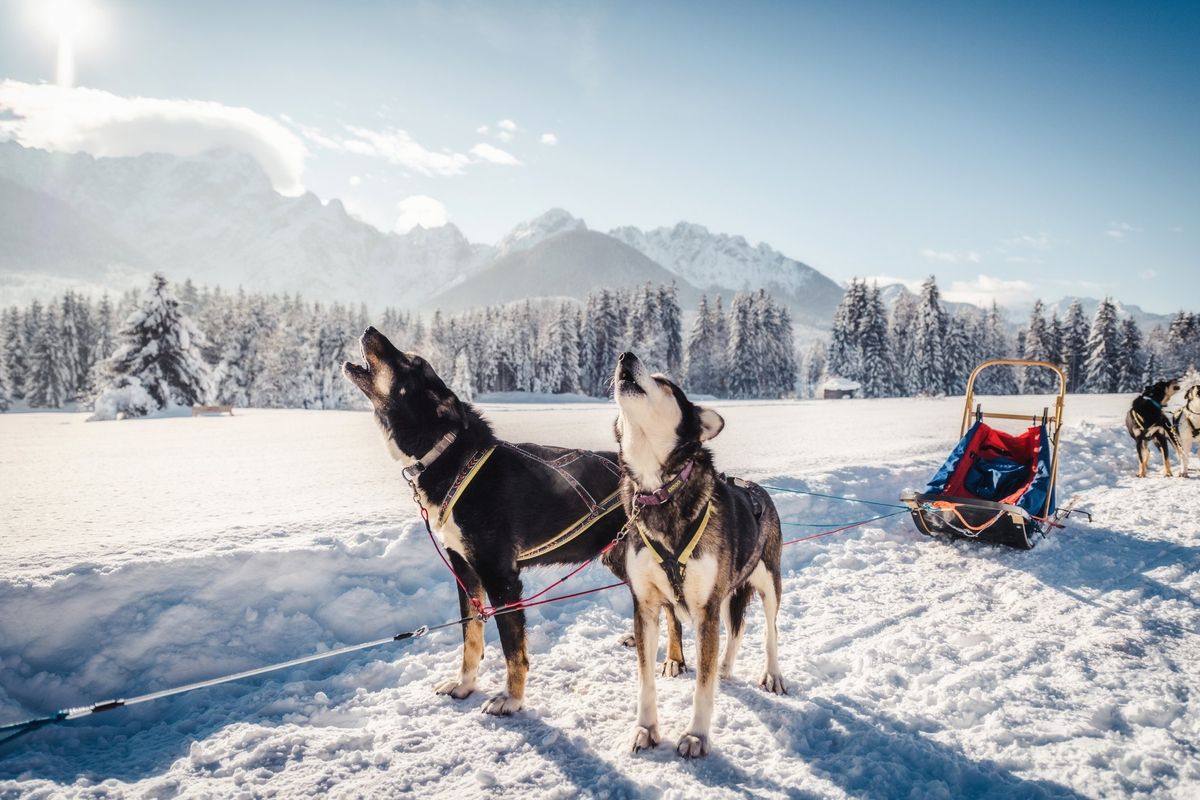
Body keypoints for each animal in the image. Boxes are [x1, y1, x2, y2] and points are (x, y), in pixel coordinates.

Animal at [345, 328, 686, 714]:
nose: (370, 330)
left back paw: (674, 659)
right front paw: (465, 685)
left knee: (673, 610)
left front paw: (512, 698)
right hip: (620, 558)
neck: (450, 456)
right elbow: (472, 638)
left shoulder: (500, 577)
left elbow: (512, 648)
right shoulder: (465, 571)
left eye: (410, 361)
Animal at [609, 352, 787, 762]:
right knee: (735, 631)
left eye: (664, 382)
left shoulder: (705, 608)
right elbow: (645, 680)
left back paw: (772, 674)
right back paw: (726, 667)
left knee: (769, 631)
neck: (660, 492)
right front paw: (646, 729)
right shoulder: (646, 607)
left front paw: (696, 736)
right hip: (727, 594)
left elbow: (702, 686)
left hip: (768, 583)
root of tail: (757, 489)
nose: (626, 355)